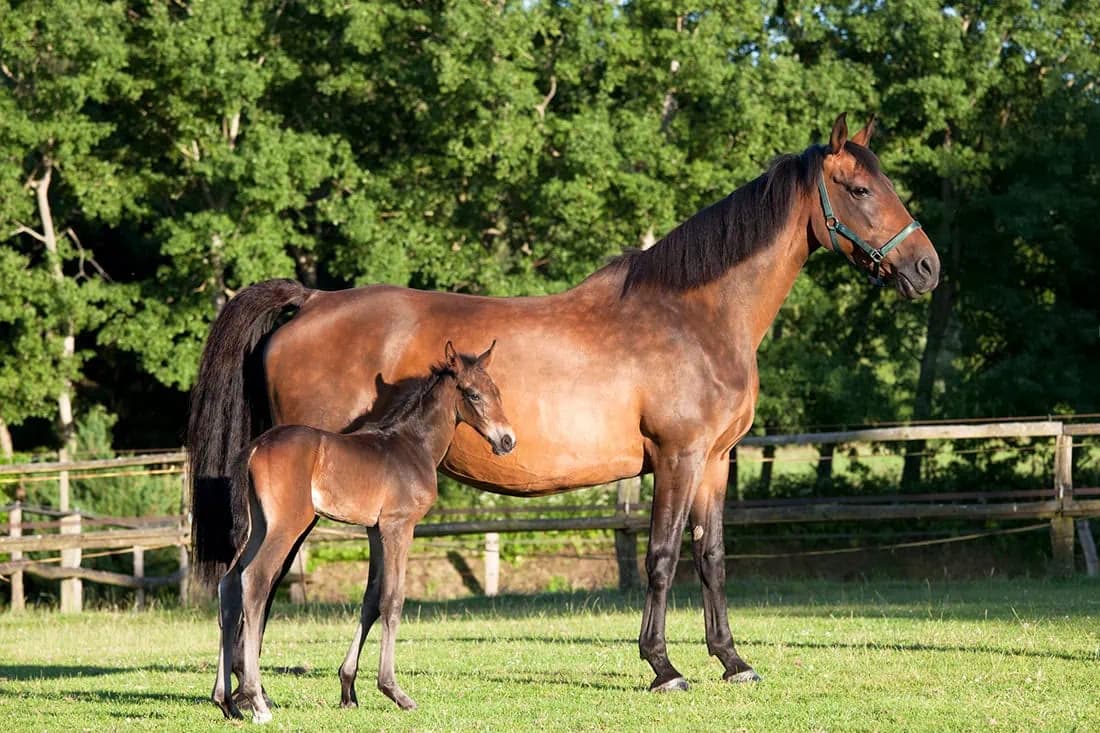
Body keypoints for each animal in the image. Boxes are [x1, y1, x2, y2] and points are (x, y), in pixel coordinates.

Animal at [211, 341, 514, 723]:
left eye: (497, 392)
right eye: (472, 394)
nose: (507, 440)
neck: (413, 445)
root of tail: (255, 447)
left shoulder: (373, 529)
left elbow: (370, 598)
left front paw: (348, 690)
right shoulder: (399, 526)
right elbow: (393, 598)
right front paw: (394, 691)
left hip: (259, 525)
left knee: (228, 584)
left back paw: (226, 701)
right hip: (286, 525)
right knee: (254, 580)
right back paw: (257, 701)